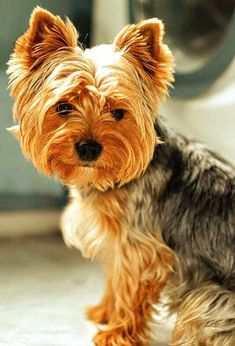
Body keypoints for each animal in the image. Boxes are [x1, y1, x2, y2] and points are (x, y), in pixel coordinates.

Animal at [7, 6, 235, 344]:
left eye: (118, 112)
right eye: (63, 107)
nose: (89, 147)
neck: (107, 179)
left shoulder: (141, 247)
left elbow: (130, 289)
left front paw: (117, 333)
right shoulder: (116, 238)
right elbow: (116, 279)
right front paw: (105, 313)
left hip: (210, 299)